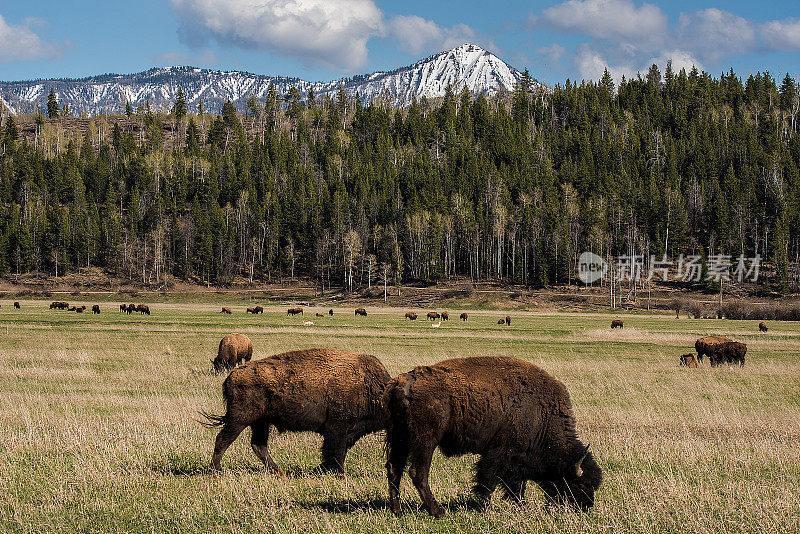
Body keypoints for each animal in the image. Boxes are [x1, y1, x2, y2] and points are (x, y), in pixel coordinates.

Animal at [203, 350, 390, 476]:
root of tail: (231, 376)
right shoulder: (337, 429)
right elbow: (336, 451)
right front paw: (339, 474)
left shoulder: (348, 431)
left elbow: (337, 451)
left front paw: (322, 469)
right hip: (240, 419)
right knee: (223, 439)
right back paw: (215, 470)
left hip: (261, 422)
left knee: (258, 445)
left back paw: (278, 472)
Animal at [384, 356, 604, 520]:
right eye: (581, 484)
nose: (586, 508)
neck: (541, 413)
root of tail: (403, 382)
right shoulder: (500, 452)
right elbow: (489, 480)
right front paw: (484, 507)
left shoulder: (516, 460)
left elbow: (515, 485)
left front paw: (521, 506)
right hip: (425, 441)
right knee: (417, 472)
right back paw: (437, 511)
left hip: (399, 438)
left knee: (394, 469)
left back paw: (398, 511)